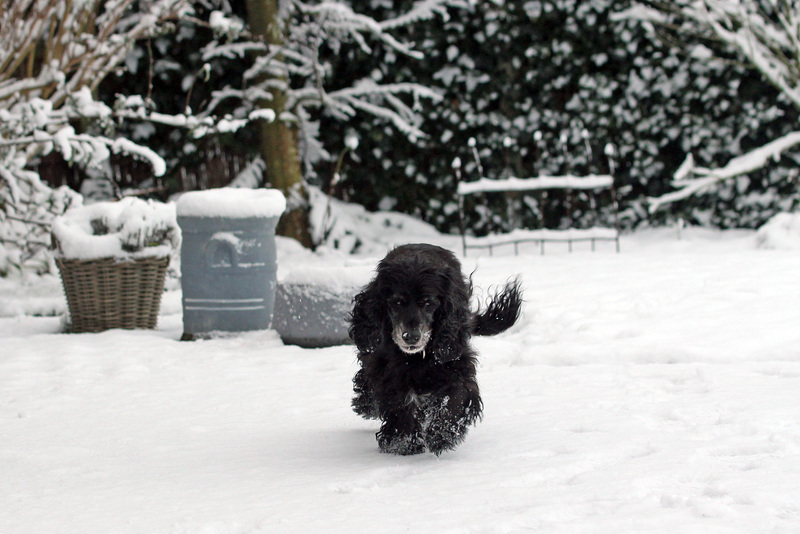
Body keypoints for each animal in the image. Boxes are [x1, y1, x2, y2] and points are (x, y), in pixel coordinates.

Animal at [346, 245, 520, 454]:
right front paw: (403, 440)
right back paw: (366, 405)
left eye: (428, 303)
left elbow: (457, 394)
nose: (411, 336)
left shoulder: (455, 360)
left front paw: (442, 433)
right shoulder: (385, 369)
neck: (415, 358)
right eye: (397, 302)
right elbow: (398, 403)